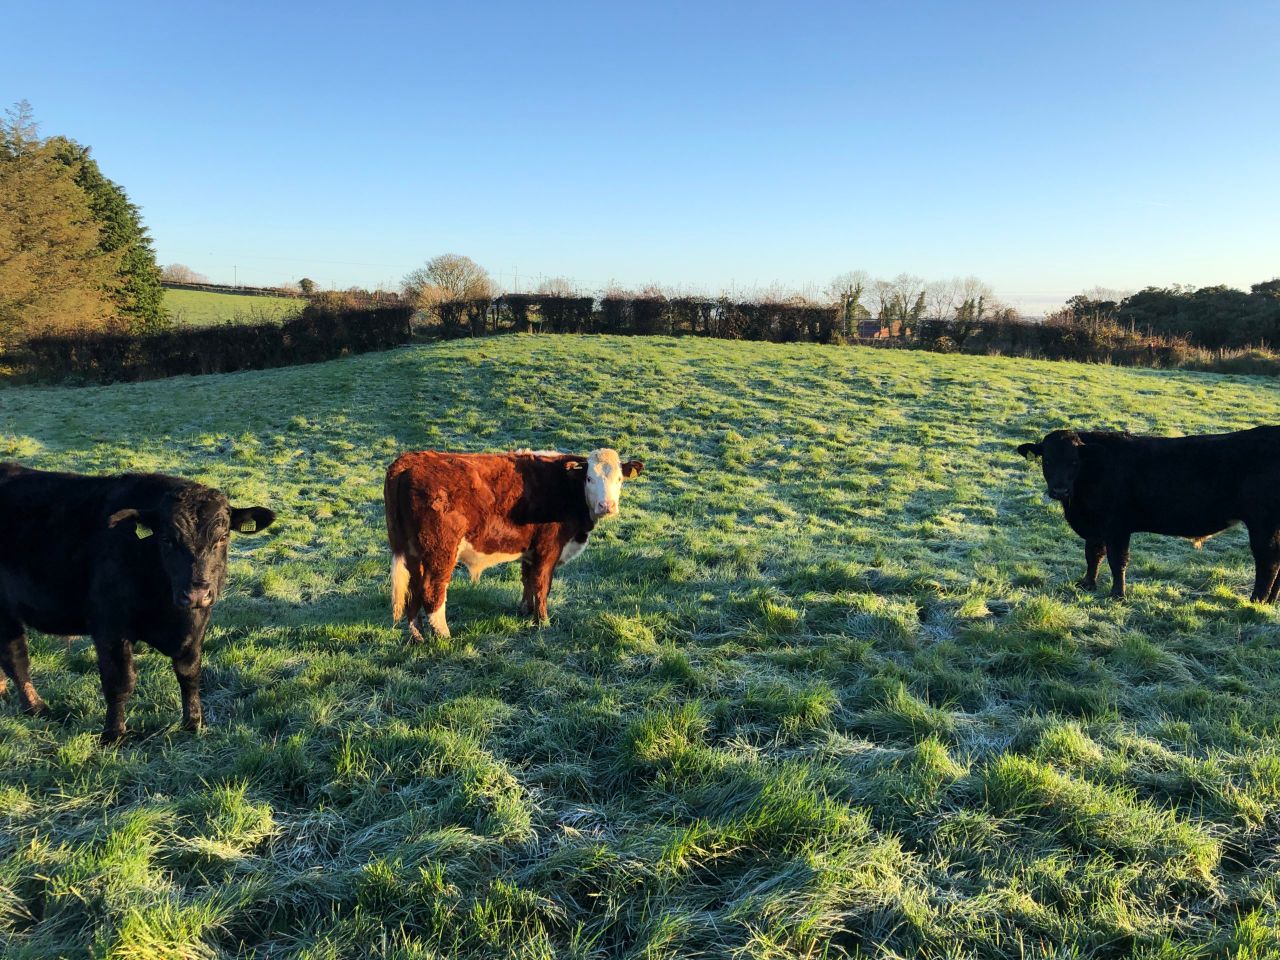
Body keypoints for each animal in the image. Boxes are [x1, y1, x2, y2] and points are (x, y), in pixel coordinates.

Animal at [0, 464, 275, 742]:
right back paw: (37, 708)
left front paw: (194, 723)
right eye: (166, 539)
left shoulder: (196, 626)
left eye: (222, 538)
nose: (196, 593)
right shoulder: (110, 626)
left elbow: (189, 673)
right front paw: (114, 734)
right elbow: (120, 682)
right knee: (16, 659)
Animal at [383, 448, 644, 640]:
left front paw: (525, 611)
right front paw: (543, 621)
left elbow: (527, 580)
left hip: (413, 552)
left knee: (414, 588)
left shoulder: (531, 551)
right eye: (589, 478)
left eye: (619, 479)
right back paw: (444, 635)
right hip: (441, 550)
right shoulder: (548, 549)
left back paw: (417, 634)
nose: (606, 506)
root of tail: (410, 460)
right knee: (432, 589)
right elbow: (542, 585)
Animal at [1017, 427, 1280, 602]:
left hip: (1263, 525)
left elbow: (1117, 560)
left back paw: (1256, 600)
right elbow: (1093, 555)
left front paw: (1117, 594)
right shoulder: (1095, 528)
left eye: (1074, 462)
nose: (1059, 490)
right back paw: (1270, 601)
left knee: (1268, 562)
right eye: (1047, 460)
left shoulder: (1116, 526)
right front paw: (1087, 584)